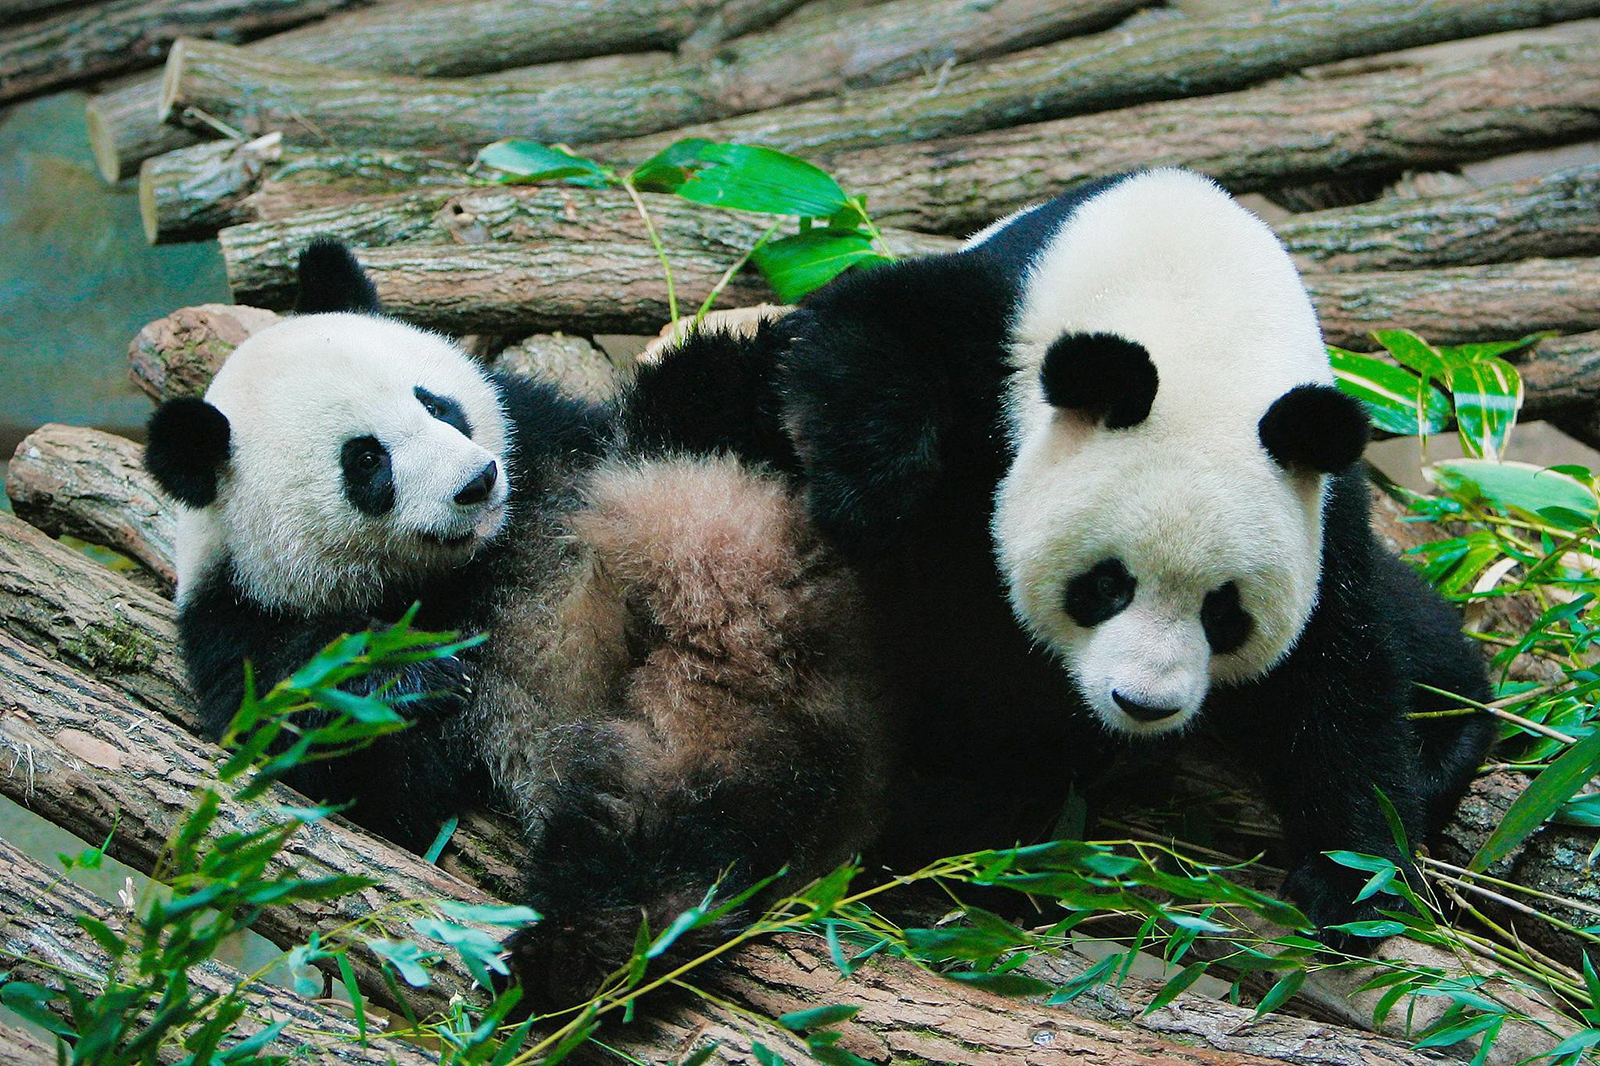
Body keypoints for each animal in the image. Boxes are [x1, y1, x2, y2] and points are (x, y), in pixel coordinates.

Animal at [145, 241, 890, 1003]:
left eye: (436, 404)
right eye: (367, 460)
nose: (477, 483)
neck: (470, 561)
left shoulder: (551, 438)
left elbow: (630, 417)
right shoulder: (244, 630)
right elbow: (362, 768)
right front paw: (418, 678)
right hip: (679, 755)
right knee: (650, 851)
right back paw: (564, 956)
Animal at [770, 169, 1494, 936]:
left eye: (1225, 614)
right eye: (1105, 585)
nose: (1142, 704)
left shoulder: (1323, 507)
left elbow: (1340, 673)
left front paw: (1354, 878)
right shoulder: (1002, 320)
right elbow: (864, 321)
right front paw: (869, 491)